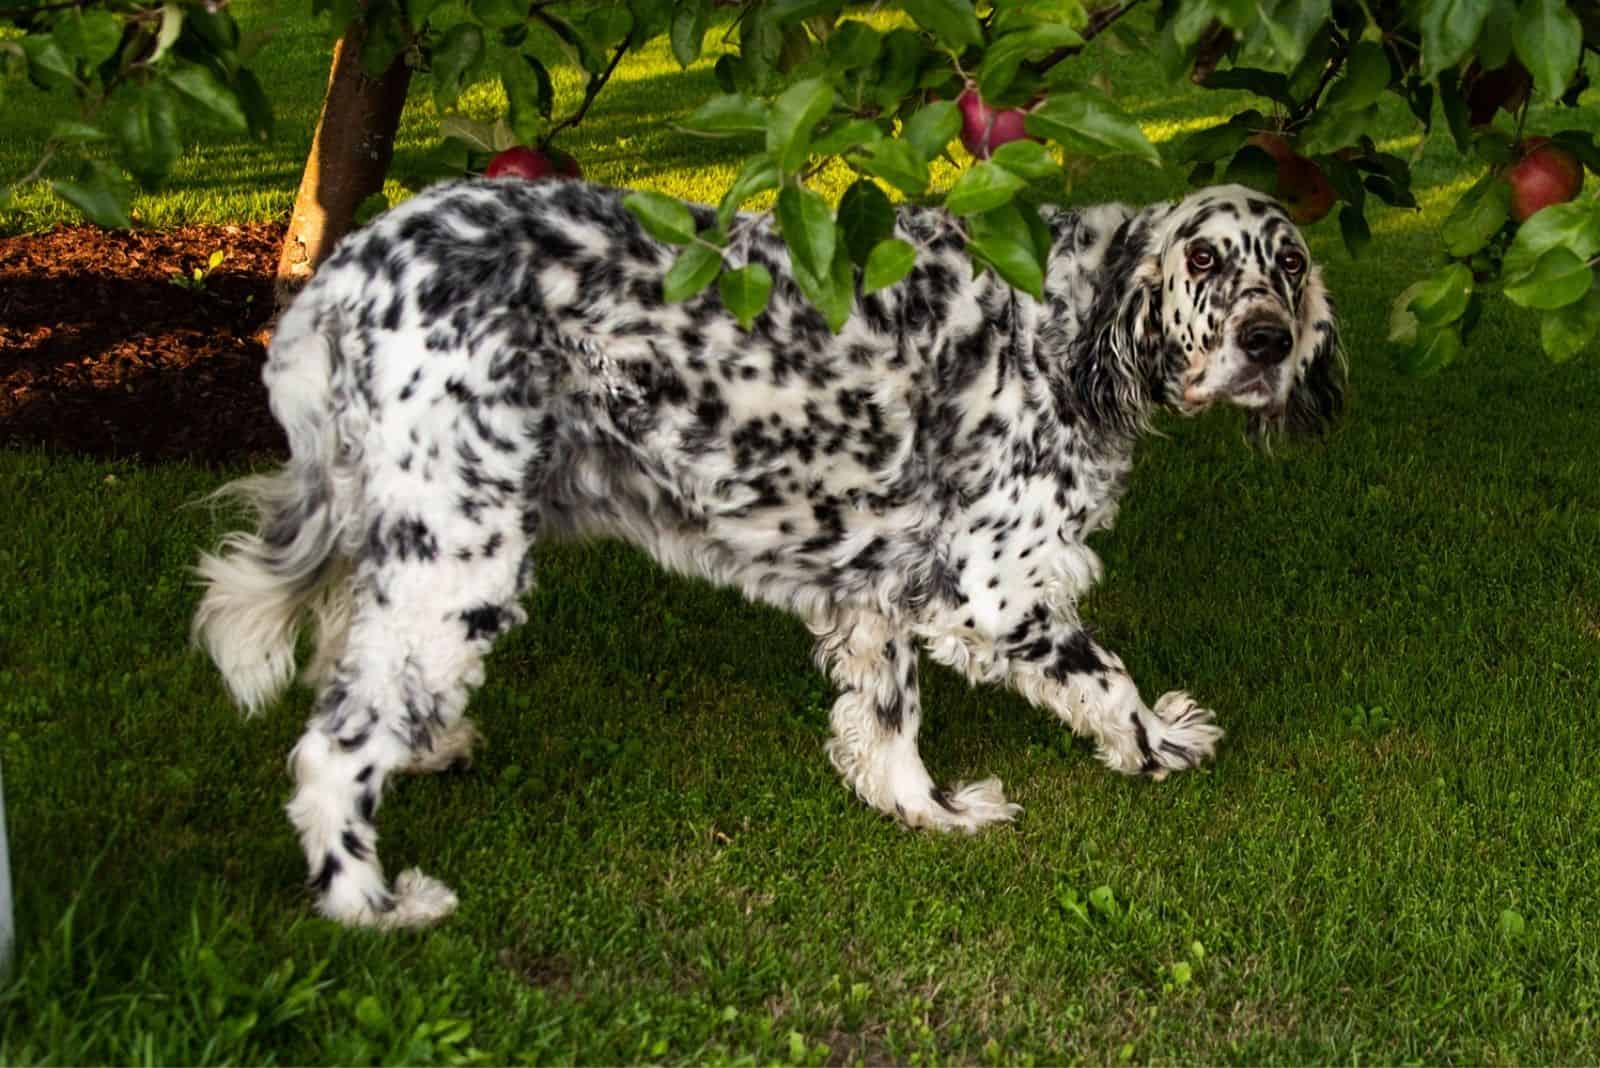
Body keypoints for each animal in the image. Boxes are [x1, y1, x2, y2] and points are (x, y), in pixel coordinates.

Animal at [196, 175, 1350, 927]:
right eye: (1203, 258)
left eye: (1288, 265)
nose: (1265, 343)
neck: (1066, 322)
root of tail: (345, 272)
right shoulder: (991, 589)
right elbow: (1105, 681)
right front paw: (1160, 746)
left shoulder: (882, 594)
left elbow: (887, 724)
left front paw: (927, 812)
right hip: (460, 555)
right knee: (333, 750)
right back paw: (372, 902)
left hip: (411, 539)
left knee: (352, 657)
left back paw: (431, 745)